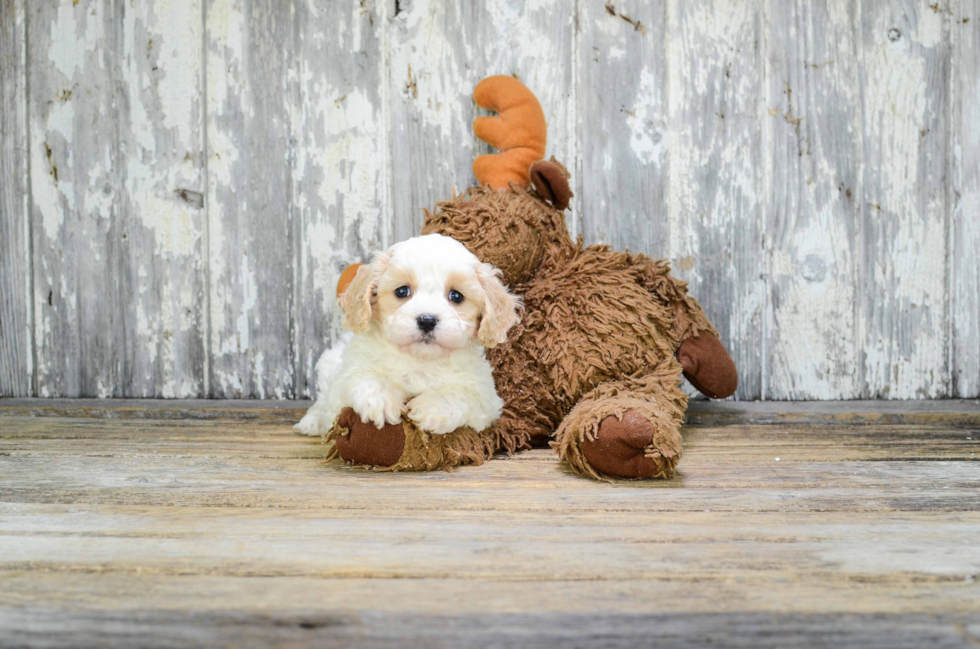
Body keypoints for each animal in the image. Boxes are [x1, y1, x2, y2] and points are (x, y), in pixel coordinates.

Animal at [292, 233, 520, 436]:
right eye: (402, 291)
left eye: (456, 296)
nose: (427, 320)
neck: (419, 361)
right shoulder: (349, 374)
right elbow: (361, 376)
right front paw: (381, 400)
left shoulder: (486, 398)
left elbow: (462, 395)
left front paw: (431, 408)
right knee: (322, 401)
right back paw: (311, 422)